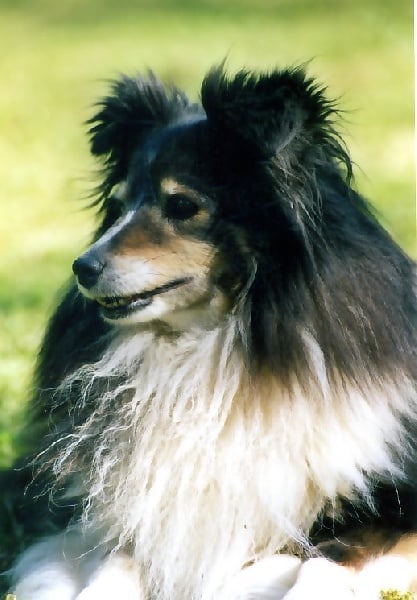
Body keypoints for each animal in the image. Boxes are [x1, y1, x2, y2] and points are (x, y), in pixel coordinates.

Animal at [0, 65, 416, 600]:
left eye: (181, 205)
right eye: (117, 204)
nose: (83, 268)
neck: (215, 347)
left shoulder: (391, 504)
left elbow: (325, 563)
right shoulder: (137, 516)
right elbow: (116, 562)